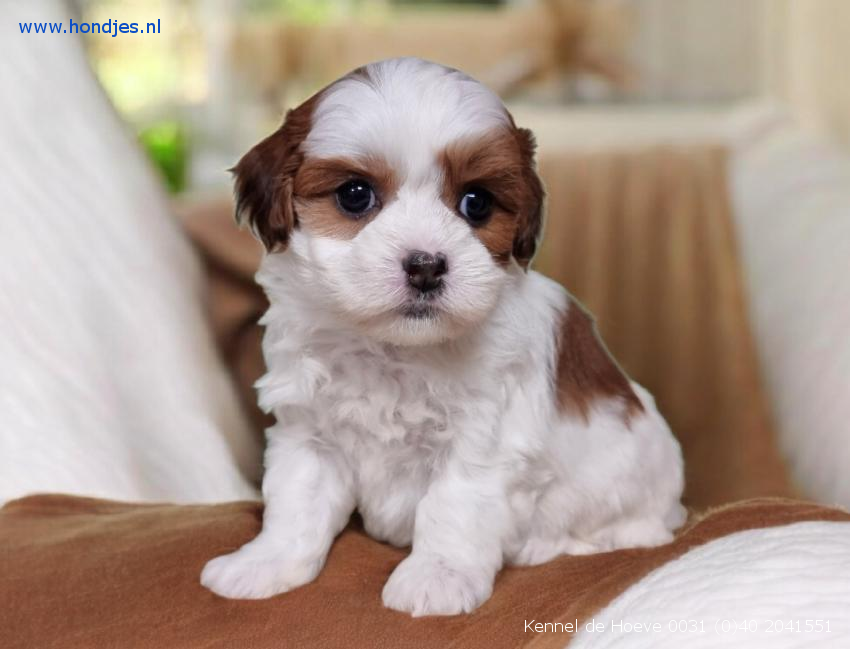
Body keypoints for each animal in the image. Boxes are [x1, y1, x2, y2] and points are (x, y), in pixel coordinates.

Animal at [201, 57, 685, 617]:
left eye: (476, 203)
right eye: (354, 195)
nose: (426, 266)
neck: (392, 348)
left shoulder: (482, 439)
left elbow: (455, 504)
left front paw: (438, 577)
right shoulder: (309, 431)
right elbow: (295, 500)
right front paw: (265, 562)